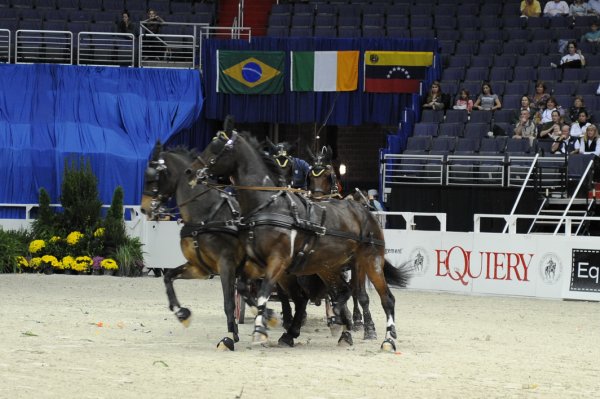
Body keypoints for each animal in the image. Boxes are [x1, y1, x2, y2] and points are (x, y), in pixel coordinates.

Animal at [141, 144, 310, 350]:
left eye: (154, 177)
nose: (144, 208)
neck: (206, 215)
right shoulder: (200, 268)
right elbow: (168, 277)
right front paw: (182, 314)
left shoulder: (226, 264)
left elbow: (228, 302)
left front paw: (230, 336)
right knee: (294, 297)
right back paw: (287, 328)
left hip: (286, 271)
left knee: (300, 297)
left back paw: (291, 330)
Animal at [190, 131, 410, 354]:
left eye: (217, 149)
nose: (193, 171)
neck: (269, 206)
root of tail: (365, 211)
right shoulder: (257, 263)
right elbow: (247, 289)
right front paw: (267, 320)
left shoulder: (278, 260)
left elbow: (265, 291)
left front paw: (260, 329)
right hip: (328, 267)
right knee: (341, 292)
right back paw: (339, 329)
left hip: (369, 261)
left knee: (383, 298)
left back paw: (386, 339)